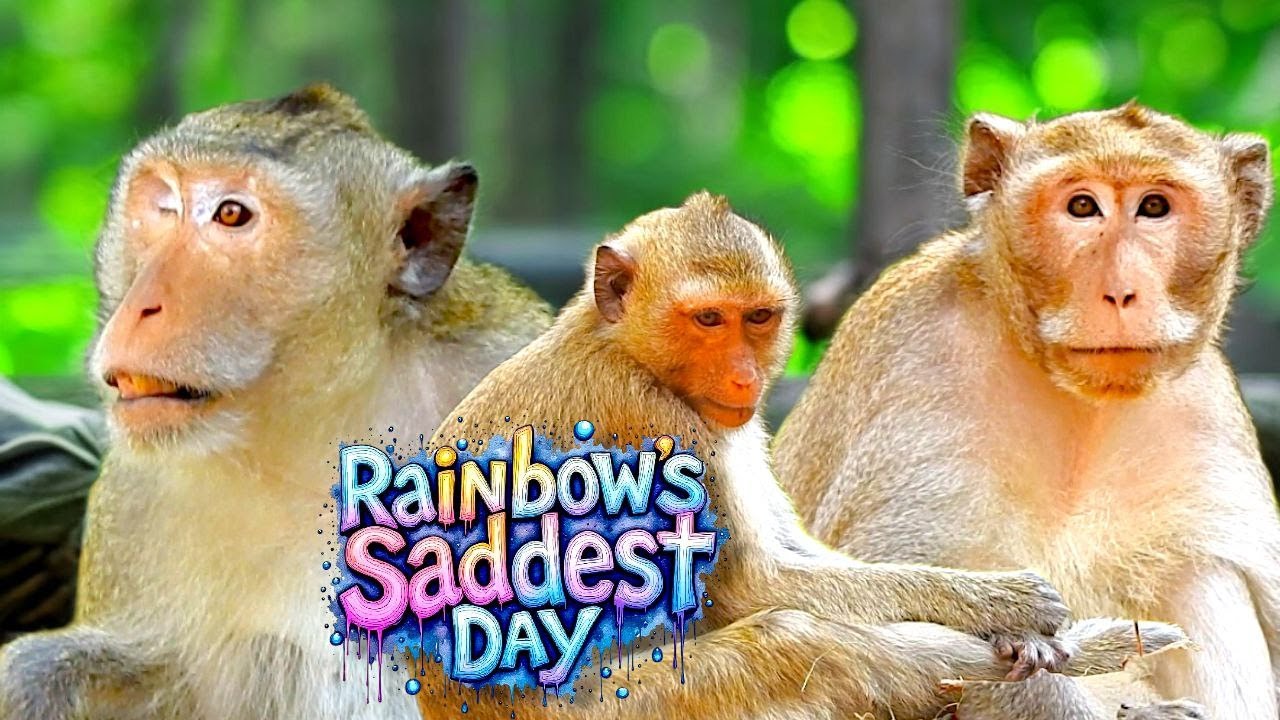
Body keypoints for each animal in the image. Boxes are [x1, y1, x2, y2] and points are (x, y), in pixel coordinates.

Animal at [0, 85, 553, 720]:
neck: (322, 421)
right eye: (163, 207)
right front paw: (40, 680)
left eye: (231, 215)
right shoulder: (135, 495)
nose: (141, 306)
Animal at [412, 192, 1181, 720]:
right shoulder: (657, 422)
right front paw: (1003, 605)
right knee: (792, 640)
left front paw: (1027, 636)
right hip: (625, 706)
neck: (625, 348)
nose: (743, 379)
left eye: (757, 318)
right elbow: (755, 589)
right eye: (707, 319)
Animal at [774, 103, 1278, 718]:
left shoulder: (1207, 411)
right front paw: (1023, 643)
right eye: (1082, 206)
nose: (1120, 291)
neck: (1081, 406)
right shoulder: (913, 354)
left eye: (1154, 207)